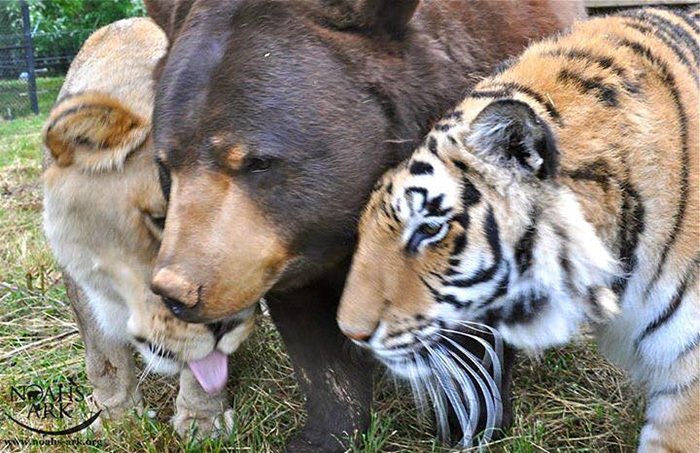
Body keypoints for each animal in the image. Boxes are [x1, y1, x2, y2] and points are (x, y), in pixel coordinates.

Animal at [40, 18, 258, 438]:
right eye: (161, 219)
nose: (227, 323)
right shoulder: (80, 279)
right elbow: (104, 358)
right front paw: (118, 419)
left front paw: (203, 422)